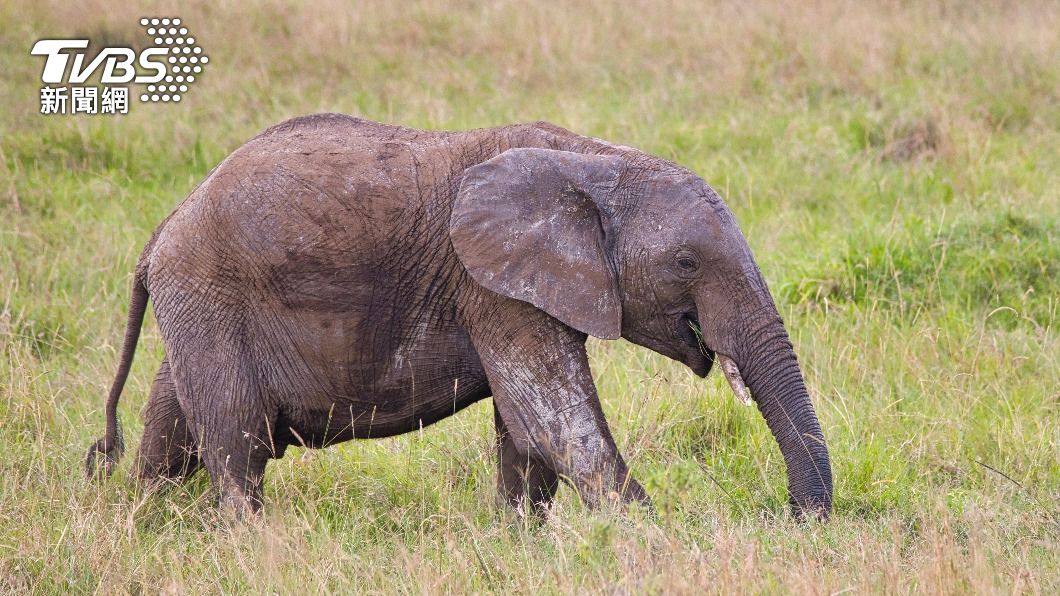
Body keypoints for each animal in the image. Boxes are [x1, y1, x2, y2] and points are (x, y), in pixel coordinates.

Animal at [85, 114, 832, 519]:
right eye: (684, 263)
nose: (792, 519)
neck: (591, 160)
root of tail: (164, 226)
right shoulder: (491, 285)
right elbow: (562, 426)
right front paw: (657, 543)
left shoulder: (513, 287)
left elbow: (526, 435)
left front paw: (518, 544)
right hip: (210, 296)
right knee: (238, 445)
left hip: (199, 306)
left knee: (174, 425)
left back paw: (144, 517)